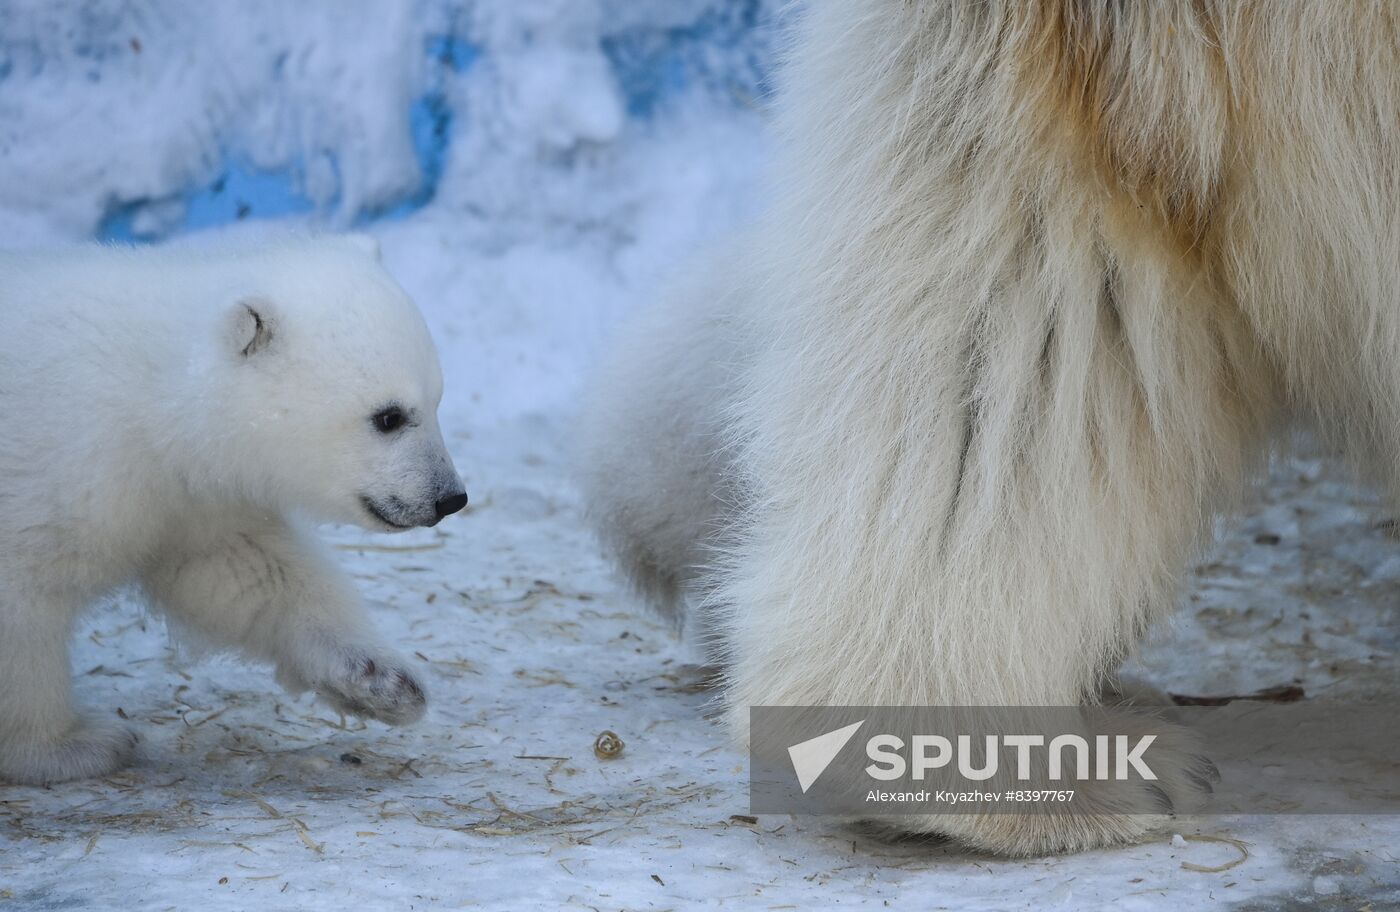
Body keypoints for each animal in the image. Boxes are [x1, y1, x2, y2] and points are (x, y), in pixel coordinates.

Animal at [0, 233, 470, 784]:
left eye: (437, 400)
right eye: (389, 416)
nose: (450, 497)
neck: (144, 390)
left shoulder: (190, 494)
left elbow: (243, 571)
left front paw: (381, 680)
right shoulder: (61, 471)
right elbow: (22, 599)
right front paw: (71, 746)